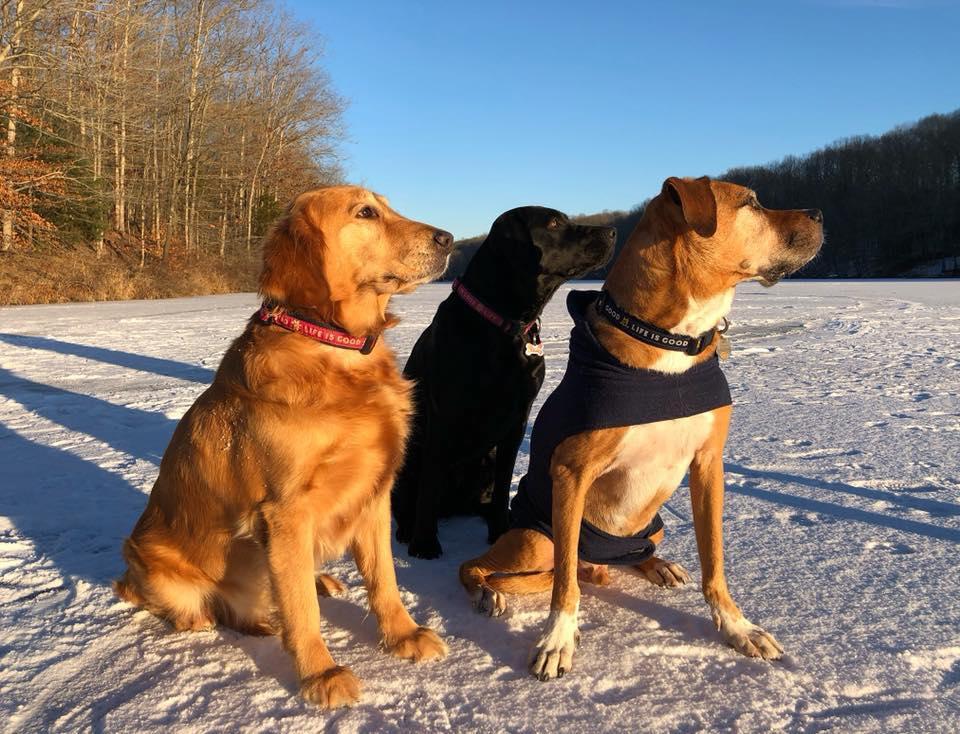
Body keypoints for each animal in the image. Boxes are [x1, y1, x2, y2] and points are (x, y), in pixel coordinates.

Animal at [390, 210, 616, 560]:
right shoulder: (443, 418)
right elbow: (428, 484)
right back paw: (407, 529)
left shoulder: (517, 420)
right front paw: (424, 543)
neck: (503, 325)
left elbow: (502, 485)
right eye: (553, 223)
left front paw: (500, 531)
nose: (613, 233)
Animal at [460, 175, 824, 680]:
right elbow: (563, 587)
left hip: (653, 529)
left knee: (615, 559)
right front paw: (557, 640)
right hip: (535, 539)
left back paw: (654, 567)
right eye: (751, 202)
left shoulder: (709, 465)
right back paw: (490, 591)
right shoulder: (571, 474)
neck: (670, 340)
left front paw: (736, 628)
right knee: (492, 567)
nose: (820, 214)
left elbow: (714, 561)